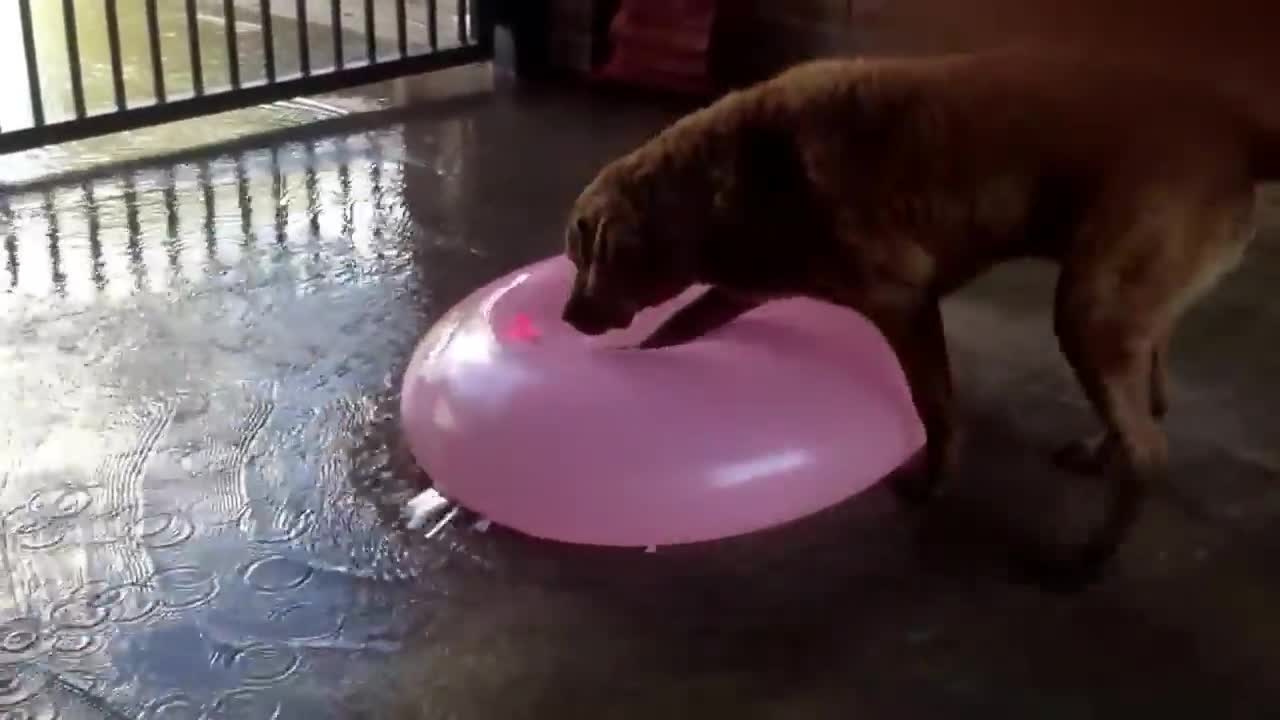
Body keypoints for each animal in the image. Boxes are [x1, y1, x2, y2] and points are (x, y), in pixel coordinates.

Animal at [563, 47, 1280, 584]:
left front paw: (933, 483)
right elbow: (681, 325)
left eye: (583, 256)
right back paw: (1095, 456)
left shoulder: (903, 302)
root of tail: (1238, 131)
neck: (726, 176)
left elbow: (935, 404)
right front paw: (637, 357)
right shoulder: (748, 288)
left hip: (1089, 305)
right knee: (1152, 401)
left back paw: (1084, 562)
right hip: (1126, 308)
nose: (568, 319)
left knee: (1149, 451)